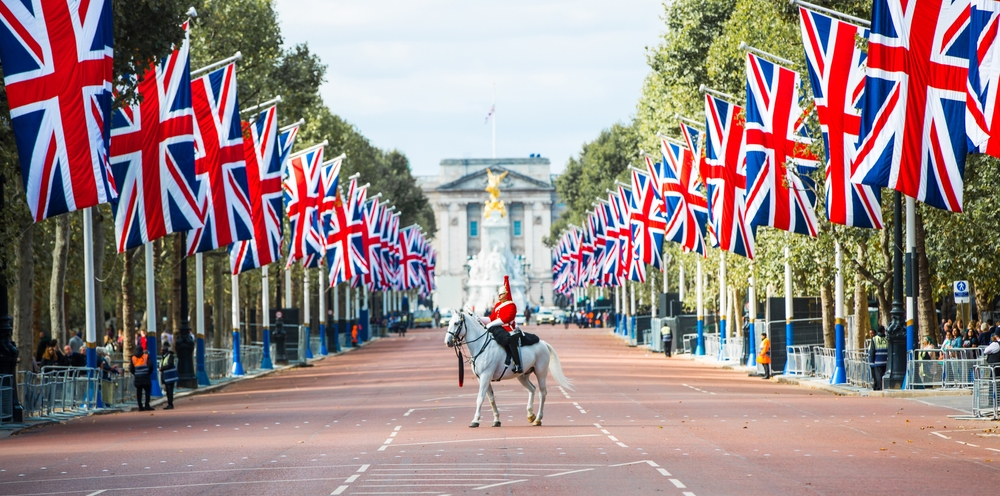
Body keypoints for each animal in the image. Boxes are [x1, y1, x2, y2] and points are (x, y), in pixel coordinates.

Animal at [444, 310, 572, 426]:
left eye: (456, 323)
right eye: (449, 322)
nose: (447, 342)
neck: (481, 345)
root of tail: (543, 343)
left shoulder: (485, 376)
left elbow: (480, 398)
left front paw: (475, 420)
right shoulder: (482, 378)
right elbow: (491, 398)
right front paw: (496, 420)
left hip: (541, 373)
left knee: (542, 393)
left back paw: (538, 419)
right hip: (522, 376)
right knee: (532, 389)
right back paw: (530, 415)